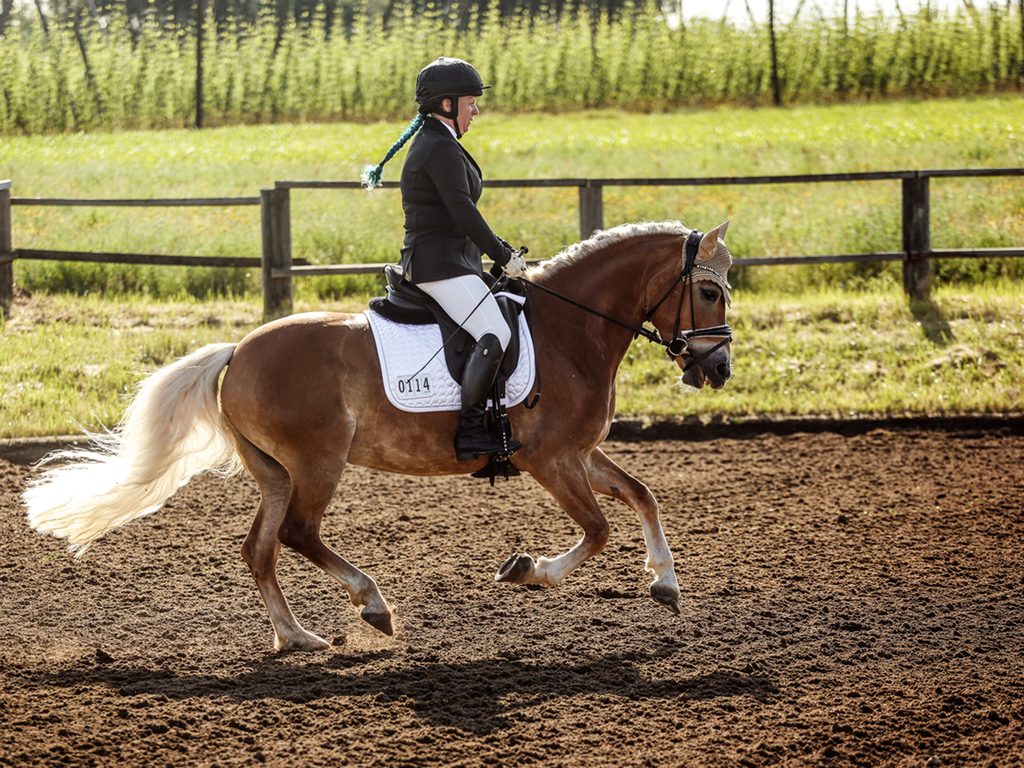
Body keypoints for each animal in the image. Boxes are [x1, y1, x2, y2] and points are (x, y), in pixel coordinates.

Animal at [24, 220, 734, 652]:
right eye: (708, 291)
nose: (718, 369)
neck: (571, 332)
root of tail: (237, 351)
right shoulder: (552, 459)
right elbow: (598, 529)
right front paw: (528, 571)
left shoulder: (580, 453)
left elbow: (642, 495)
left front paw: (665, 583)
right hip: (318, 461)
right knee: (297, 534)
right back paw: (371, 605)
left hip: (276, 471)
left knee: (260, 548)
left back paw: (298, 637)